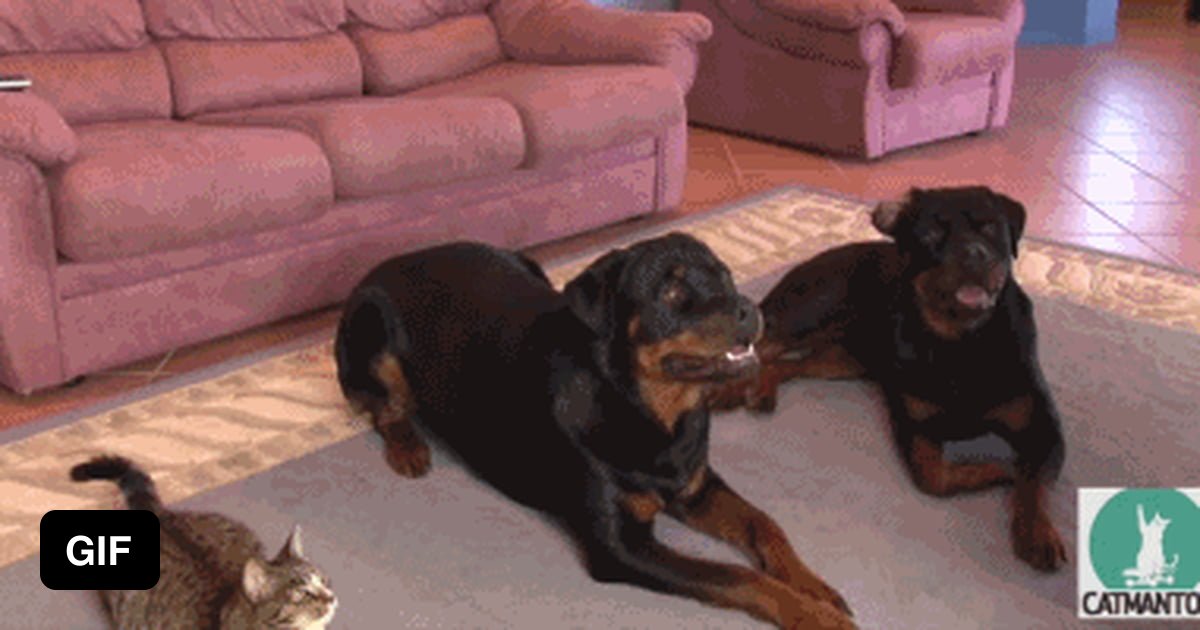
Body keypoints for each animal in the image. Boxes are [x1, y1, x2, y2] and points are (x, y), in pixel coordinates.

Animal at [335, 235, 855, 629]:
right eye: (670, 293)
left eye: (725, 275)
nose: (749, 308)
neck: (648, 410)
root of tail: (390, 261)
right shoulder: (621, 548)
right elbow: (735, 575)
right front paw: (815, 617)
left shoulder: (696, 487)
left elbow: (765, 524)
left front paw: (815, 588)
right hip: (372, 333)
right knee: (382, 405)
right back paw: (408, 447)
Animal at [710, 187, 1068, 572]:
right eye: (932, 233)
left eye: (990, 227)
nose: (974, 253)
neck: (961, 342)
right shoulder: (914, 425)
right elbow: (932, 477)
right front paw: (999, 471)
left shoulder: (1043, 426)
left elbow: (1033, 481)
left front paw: (1038, 531)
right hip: (807, 313)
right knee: (759, 348)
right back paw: (728, 389)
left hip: (848, 360)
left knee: (785, 364)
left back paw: (762, 391)